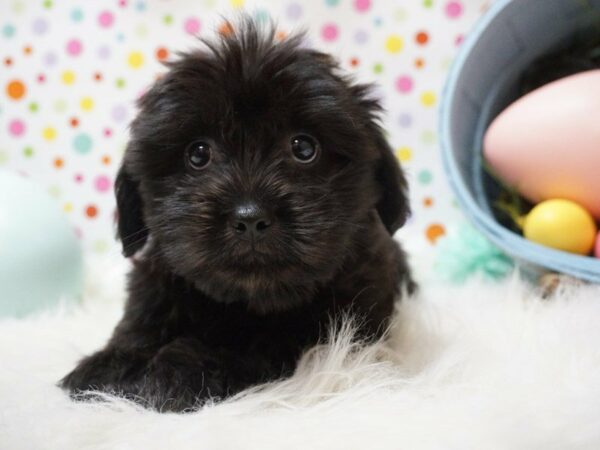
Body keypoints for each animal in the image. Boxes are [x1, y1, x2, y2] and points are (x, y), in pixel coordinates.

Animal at [62, 18, 418, 412]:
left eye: (304, 148)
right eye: (198, 154)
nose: (250, 218)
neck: (247, 298)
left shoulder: (328, 322)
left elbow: (254, 344)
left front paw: (179, 369)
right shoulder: (154, 280)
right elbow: (140, 321)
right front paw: (109, 366)